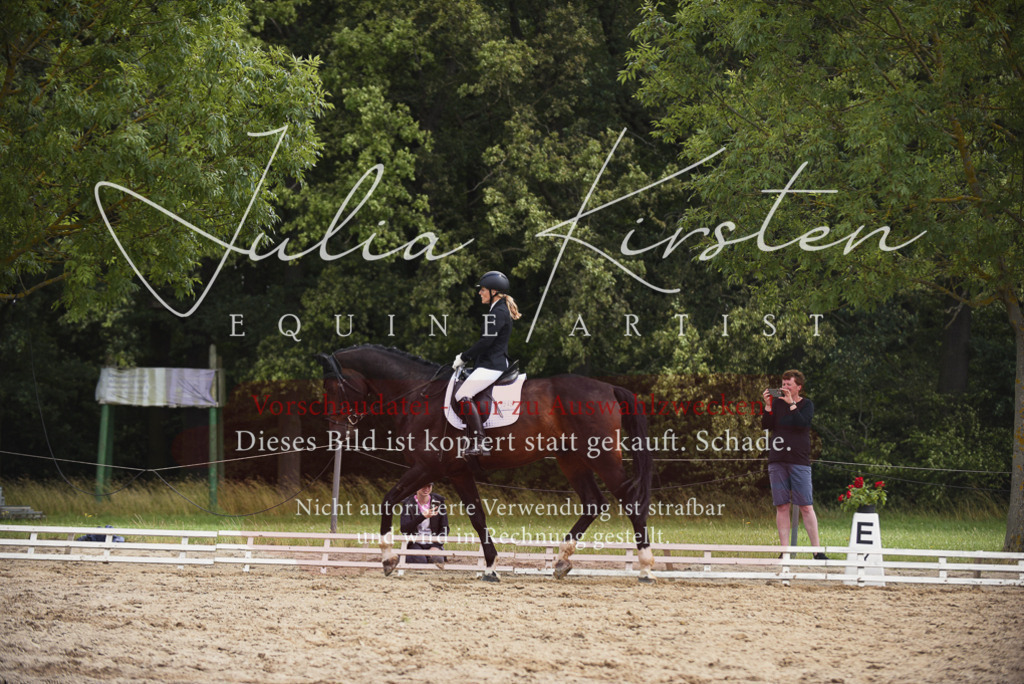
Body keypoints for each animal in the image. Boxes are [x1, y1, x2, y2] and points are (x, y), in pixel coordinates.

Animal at [316, 344, 655, 582]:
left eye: (332, 387)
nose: (336, 431)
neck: (418, 394)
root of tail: (608, 387)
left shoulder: (427, 468)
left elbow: (387, 500)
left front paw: (388, 559)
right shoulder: (458, 472)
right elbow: (478, 517)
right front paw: (491, 566)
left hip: (601, 455)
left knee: (629, 501)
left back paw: (646, 568)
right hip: (570, 458)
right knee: (593, 502)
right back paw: (561, 561)